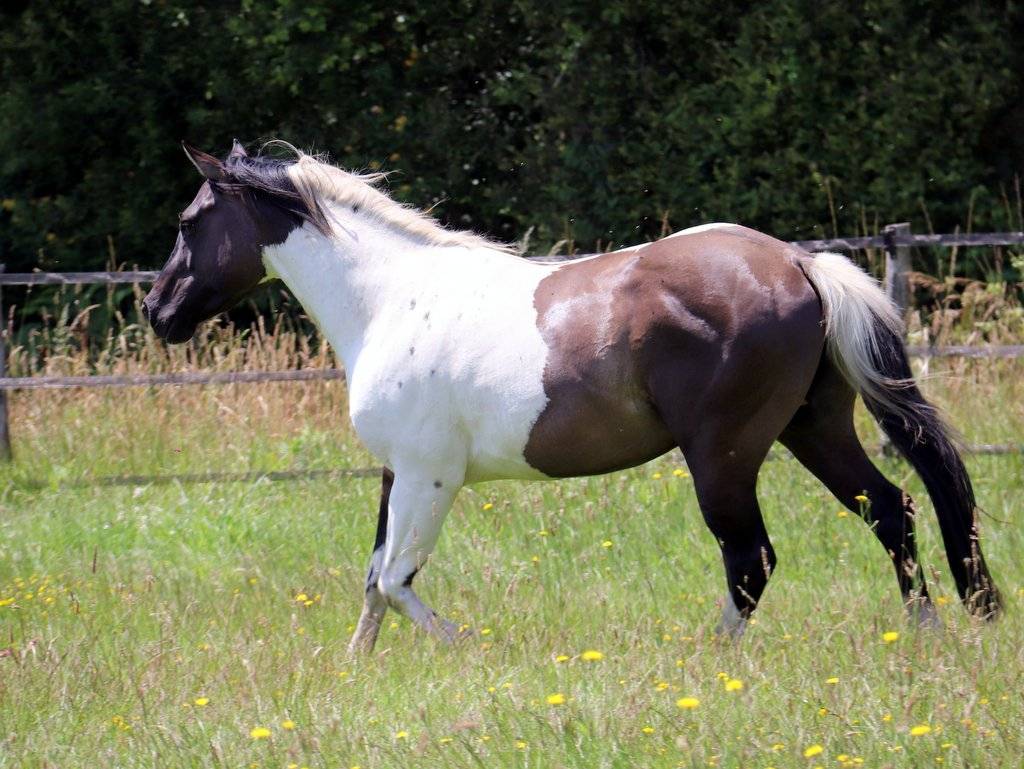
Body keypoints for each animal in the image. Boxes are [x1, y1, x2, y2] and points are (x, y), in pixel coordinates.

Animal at [143, 141, 1000, 653]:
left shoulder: (428, 475)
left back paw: (709, 663)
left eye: (188, 221)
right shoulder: (395, 473)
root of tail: (797, 262)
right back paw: (926, 632)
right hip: (812, 427)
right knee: (891, 509)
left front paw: (467, 648)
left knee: (751, 558)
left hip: (724, 454)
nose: (158, 311)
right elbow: (373, 579)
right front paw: (356, 666)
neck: (388, 301)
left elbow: (395, 580)